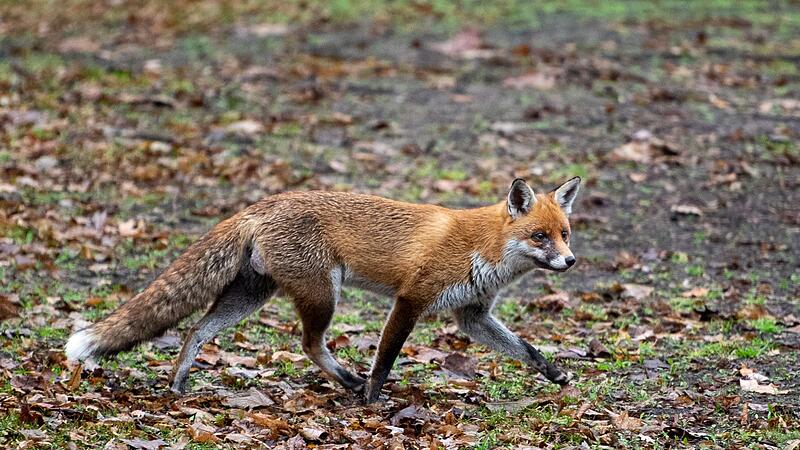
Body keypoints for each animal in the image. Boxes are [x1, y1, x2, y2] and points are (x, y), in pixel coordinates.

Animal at [65, 177, 581, 403]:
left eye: (565, 234)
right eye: (540, 237)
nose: (570, 262)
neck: (483, 248)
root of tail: (264, 203)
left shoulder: (472, 315)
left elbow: (525, 349)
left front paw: (555, 373)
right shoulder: (411, 299)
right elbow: (385, 358)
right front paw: (372, 399)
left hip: (252, 295)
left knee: (196, 330)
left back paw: (178, 383)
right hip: (322, 294)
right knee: (309, 344)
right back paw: (349, 382)